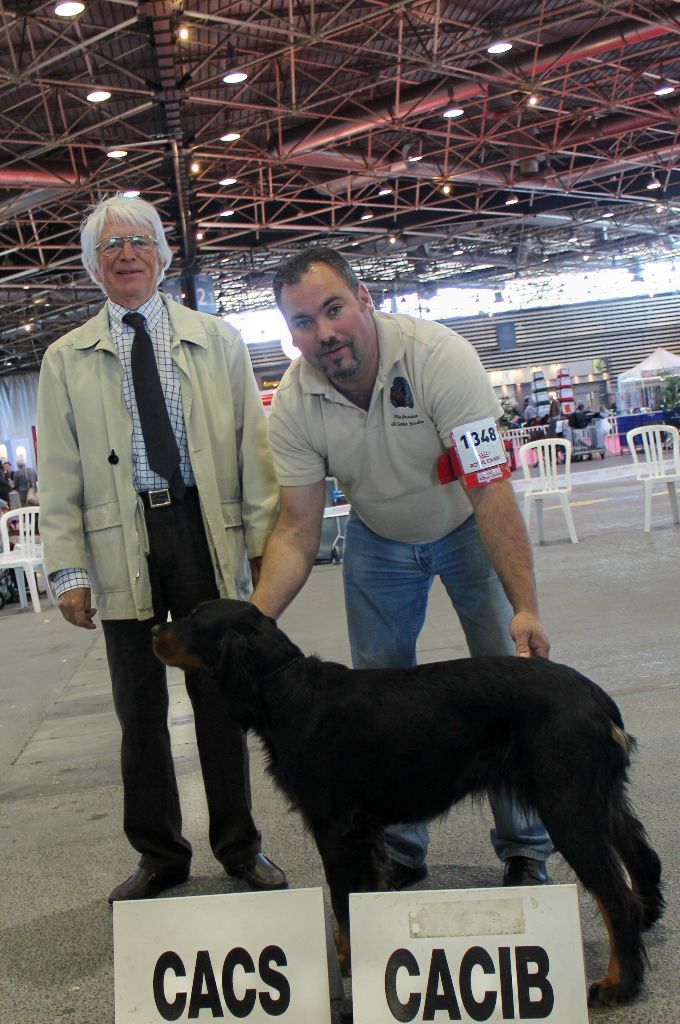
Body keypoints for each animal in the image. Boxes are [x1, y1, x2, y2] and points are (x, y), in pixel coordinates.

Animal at [150, 598, 663, 1007]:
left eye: (193, 616)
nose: (153, 628)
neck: (285, 690)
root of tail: (597, 699)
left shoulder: (336, 827)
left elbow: (342, 898)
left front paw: (347, 963)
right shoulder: (362, 831)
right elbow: (357, 895)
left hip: (567, 806)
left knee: (614, 897)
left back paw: (618, 985)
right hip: (598, 799)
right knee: (642, 856)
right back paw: (649, 920)